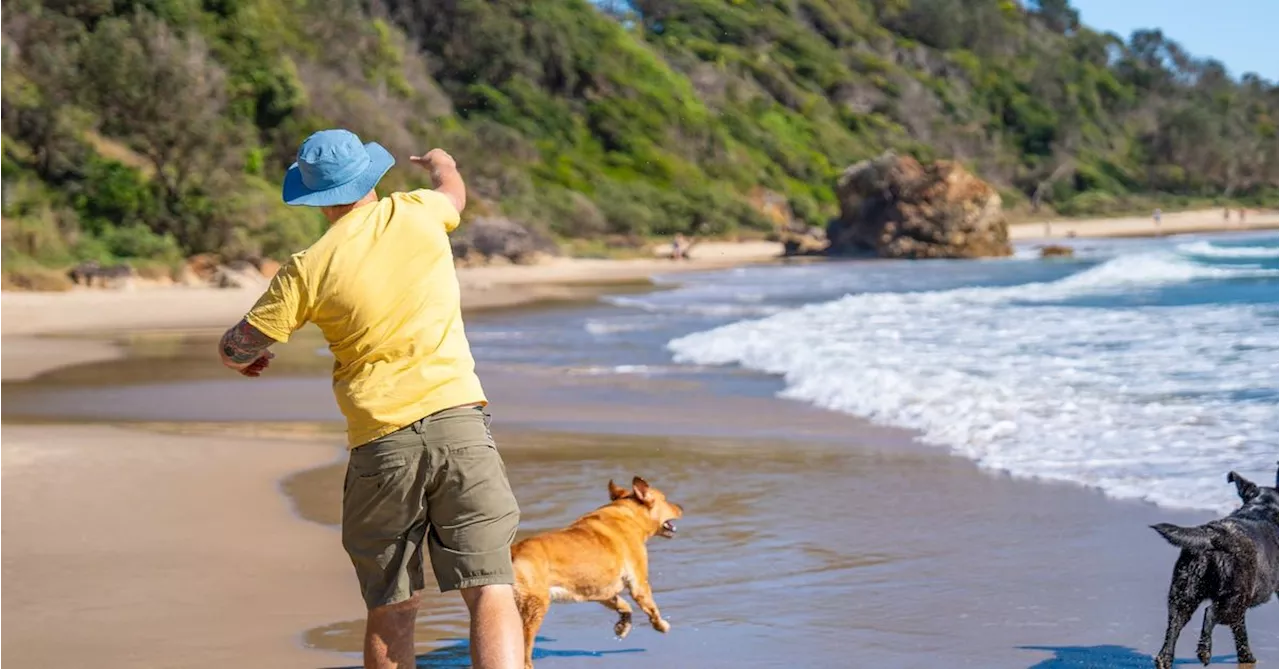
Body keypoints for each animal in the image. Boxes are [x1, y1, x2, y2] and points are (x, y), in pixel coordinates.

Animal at [512, 478, 686, 665]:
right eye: (665, 499)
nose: (681, 507)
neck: (630, 515)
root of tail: (512, 552)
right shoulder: (639, 584)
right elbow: (651, 609)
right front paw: (661, 626)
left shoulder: (602, 591)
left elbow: (624, 606)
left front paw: (622, 627)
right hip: (535, 608)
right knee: (525, 653)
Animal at [1152, 468, 1280, 665]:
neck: (1261, 508)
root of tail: (1213, 537)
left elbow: (1240, 633)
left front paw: (1246, 657)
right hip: (1233, 599)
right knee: (1210, 613)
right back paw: (1204, 650)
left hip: (1183, 596)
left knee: (1174, 625)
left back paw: (1165, 658)